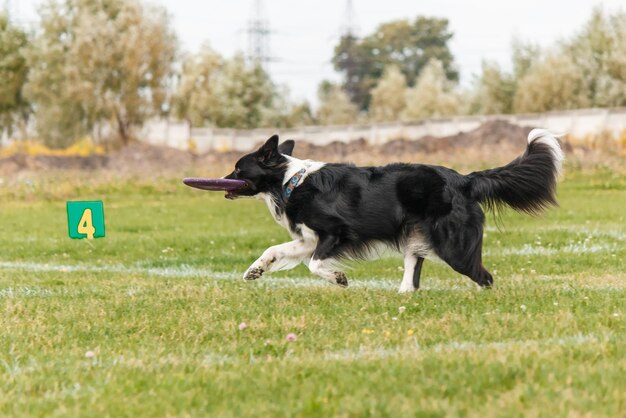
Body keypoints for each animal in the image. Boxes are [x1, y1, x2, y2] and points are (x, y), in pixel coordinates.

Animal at [223, 129, 560, 292]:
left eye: (238, 168)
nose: (223, 179)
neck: (290, 180)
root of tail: (464, 180)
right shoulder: (309, 238)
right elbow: (274, 250)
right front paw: (254, 270)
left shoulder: (336, 232)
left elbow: (315, 265)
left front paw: (339, 278)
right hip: (417, 239)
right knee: (412, 279)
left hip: (453, 246)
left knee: (483, 276)